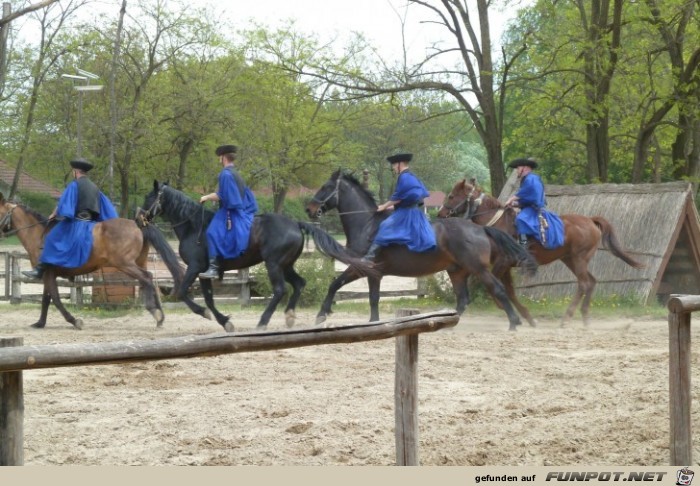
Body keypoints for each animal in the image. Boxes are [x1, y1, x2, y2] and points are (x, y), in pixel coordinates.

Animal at [0, 192, 185, 328]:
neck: (39, 234)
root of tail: (138, 224)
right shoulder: (48, 274)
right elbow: (47, 299)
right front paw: (40, 323)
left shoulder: (48, 273)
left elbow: (56, 299)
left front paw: (74, 321)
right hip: (138, 262)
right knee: (150, 279)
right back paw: (159, 313)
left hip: (125, 264)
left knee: (146, 278)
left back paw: (156, 313)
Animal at [139, 180, 374, 332]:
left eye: (149, 196)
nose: (140, 216)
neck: (193, 225)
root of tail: (295, 223)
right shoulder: (204, 272)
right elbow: (208, 298)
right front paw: (224, 321)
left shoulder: (195, 268)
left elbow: (183, 292)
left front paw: (205, 313)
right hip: (285, 265)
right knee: (299, 283)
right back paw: (289, 316)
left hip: (274, 265)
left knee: (280, 290)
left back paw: (263, 321)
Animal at [304, 169, 540, 332]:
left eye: (326, 187)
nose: (309, 209)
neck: (367, 224)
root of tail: (480, 227)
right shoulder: (371, 273)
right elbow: (361, 294)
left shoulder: (362, 268)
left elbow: (345, 288)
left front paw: (323, 315)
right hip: (457, 271)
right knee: (463, 299)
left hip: (478, 269)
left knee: (497, 289)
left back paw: (513, 322)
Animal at [438, 178, 644, 326]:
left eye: (451, 196)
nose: (440, 214)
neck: (497, 223)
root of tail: (590, 220)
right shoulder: (507, 266)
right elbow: (510, 291)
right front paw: (527, 317)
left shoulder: (502, 262)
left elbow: (496, 288)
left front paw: (507, 310)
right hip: (570, 259)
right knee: (591, 282)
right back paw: (584, 317)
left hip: (578, 259)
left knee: (584, 284)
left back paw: (567, 318)